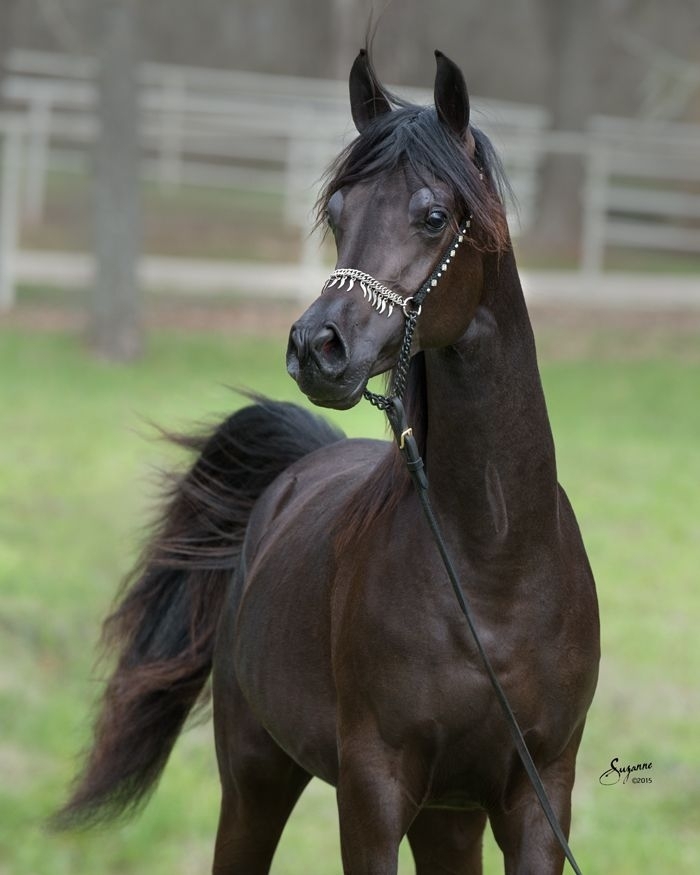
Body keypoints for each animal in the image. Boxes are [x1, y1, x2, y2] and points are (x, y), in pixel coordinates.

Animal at [55, 49, 600, 875]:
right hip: (256, 778)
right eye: (338, 212)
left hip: (448, 817)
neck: (494, 565)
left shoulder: (538, 796)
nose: (318, 347)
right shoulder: (372, 791)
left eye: (433, 215)